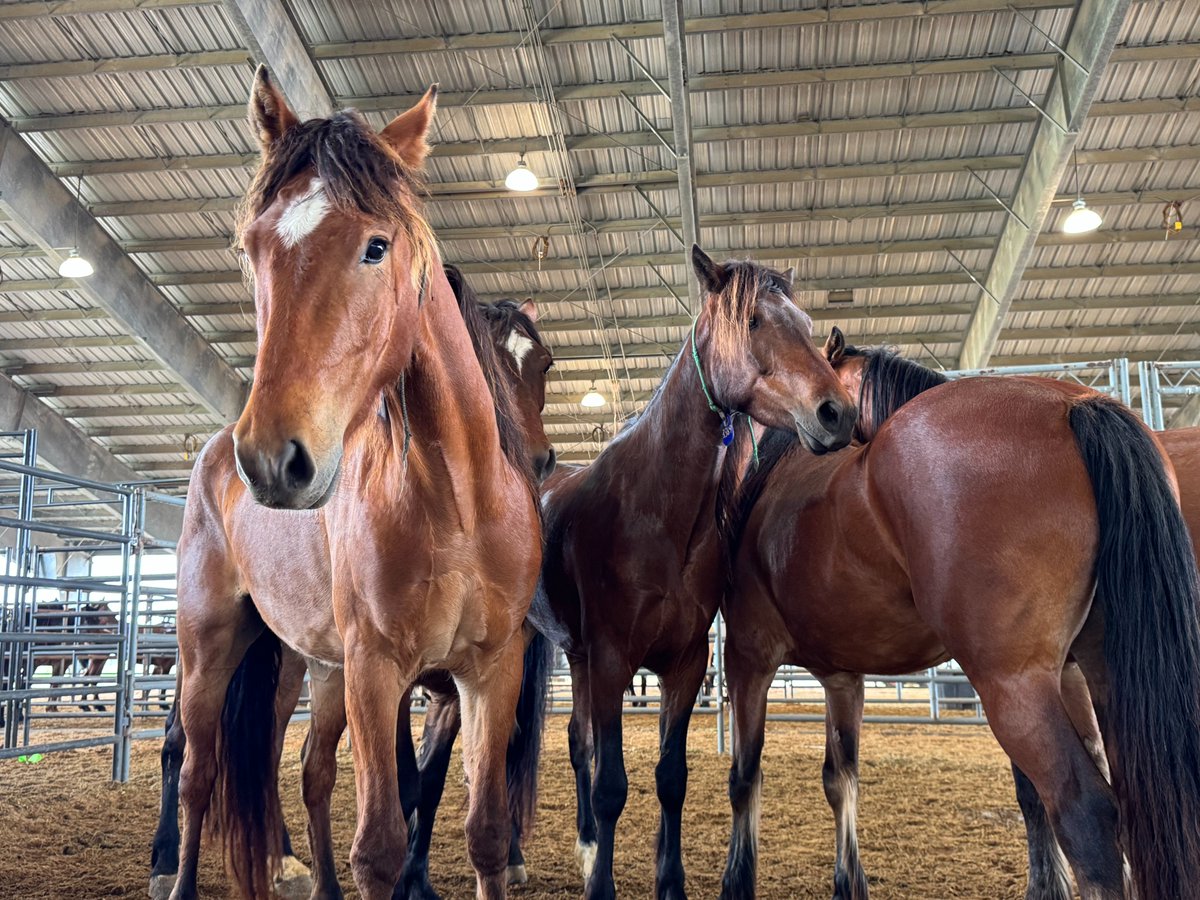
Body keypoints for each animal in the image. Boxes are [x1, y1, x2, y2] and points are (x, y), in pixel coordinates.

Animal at [167, 67, 542, 900]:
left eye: (376, 246)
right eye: (252, 249)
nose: (273, 460)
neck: (457, 504)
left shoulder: (488, 672)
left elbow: (484, 832)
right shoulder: (379, 672)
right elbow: (381, 845)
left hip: (313, 666)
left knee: (302, 770)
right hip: (210, 648)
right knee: (200, 775)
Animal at [532, 245, 856, 900]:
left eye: (807, 326)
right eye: (752, 321)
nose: (836, 413)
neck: (655, 510)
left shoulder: (683, 665)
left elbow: (670, 778)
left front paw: (669, 883)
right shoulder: (613, 661)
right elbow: (612, 786)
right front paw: (603, 887)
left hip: (577, 659)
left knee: (578, 743)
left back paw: (585, 848)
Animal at [718, 332, 1200, 899]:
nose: (828, 423)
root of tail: (1077, 405)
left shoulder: (748, 656)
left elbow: (745, 776)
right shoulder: (845, 675)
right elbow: (842, 779)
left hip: (1010, 684)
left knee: (1087, 813)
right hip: (1099, 672)